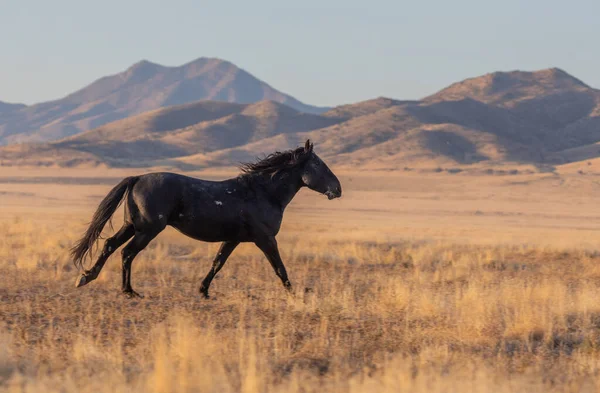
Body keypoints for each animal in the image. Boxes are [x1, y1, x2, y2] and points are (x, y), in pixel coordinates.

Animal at [71, 140, 342, 298]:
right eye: (318, 164)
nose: (337, 189)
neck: (262, 193)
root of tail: (137, 178)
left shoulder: (233, 239)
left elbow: (217, 263)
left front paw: (203, 291)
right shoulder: (265, 239)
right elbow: (279, 267)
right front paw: (295, 293)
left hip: (133, 226)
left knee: (109, 245)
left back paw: (86, 277)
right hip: (147, 230)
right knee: (126, 253)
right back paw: (128, 291)